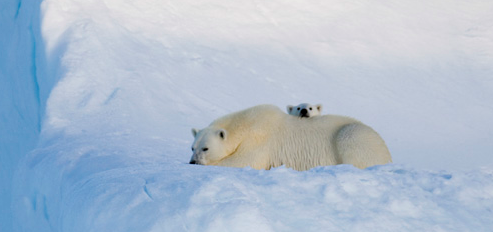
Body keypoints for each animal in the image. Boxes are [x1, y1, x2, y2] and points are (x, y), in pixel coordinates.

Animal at [189, 104, 392, 171]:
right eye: (192, 147)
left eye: (205, 148)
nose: (193, 162)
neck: (245, 124)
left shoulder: (259, 140)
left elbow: (243, 161)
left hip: (353, 136)